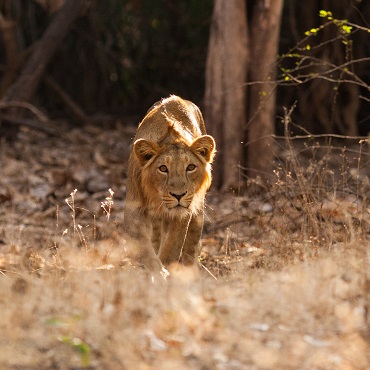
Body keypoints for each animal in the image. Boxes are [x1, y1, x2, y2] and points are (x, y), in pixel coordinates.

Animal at [124, 95, 217, 274]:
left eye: (191, 167)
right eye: (163, 168)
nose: (178, 195)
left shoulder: (183, 212)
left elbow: (172, 247)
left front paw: (165, 269)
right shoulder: (134, 210)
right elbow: (146, 250)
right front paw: (157, 271)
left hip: (197, 211)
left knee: (191, 246)